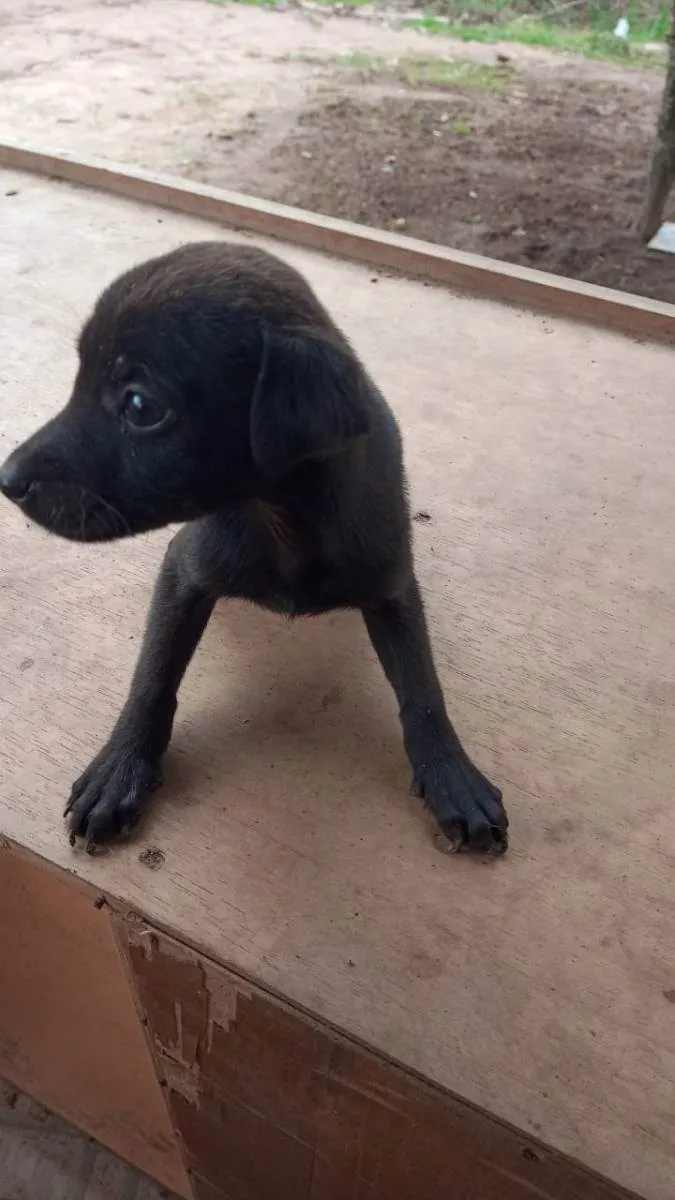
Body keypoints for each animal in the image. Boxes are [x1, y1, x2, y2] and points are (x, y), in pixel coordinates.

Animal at [0, 238, 504, 849]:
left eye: (140, 406)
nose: (6, 479)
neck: (282, 524)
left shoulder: (392, 585)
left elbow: (423, 689)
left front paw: (453, 775)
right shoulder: (184, 570)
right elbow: (152, 676)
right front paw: (121, 766)